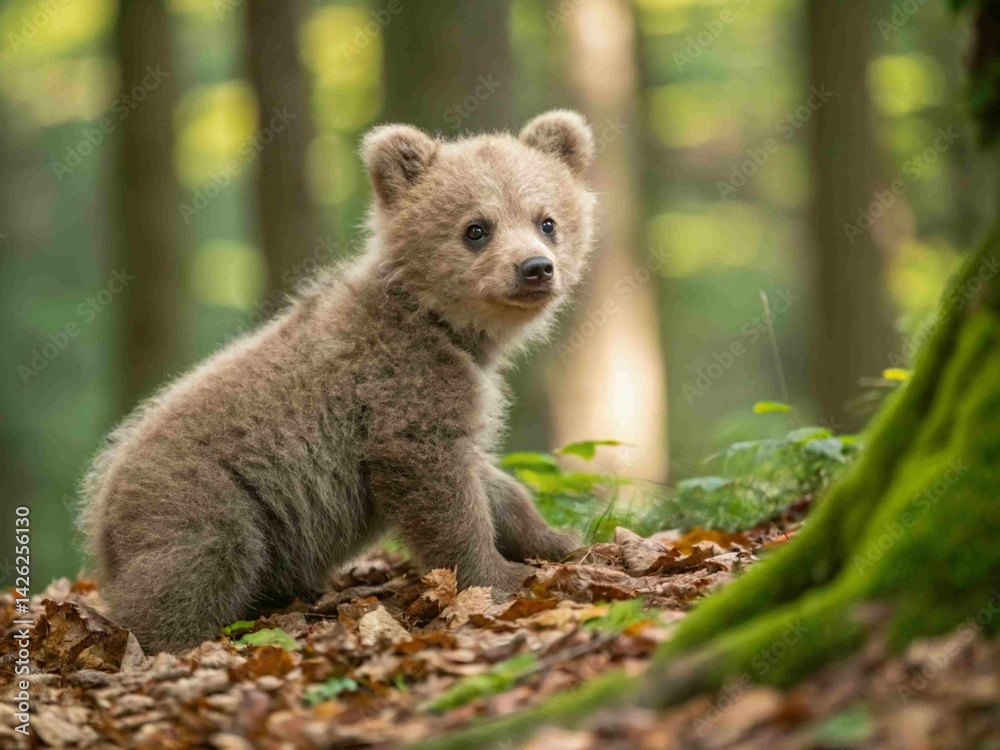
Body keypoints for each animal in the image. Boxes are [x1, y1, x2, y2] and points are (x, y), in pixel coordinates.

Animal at [79, 110, 598, 654]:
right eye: (476, 228)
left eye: (547, 221)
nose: (535, 268)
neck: (445, 328)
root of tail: (99, 510)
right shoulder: (400, 392)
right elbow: (440, 492)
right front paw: (498, 576)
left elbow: (490, 480)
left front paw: (556, 537)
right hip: (206, 501)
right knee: (192, 571)